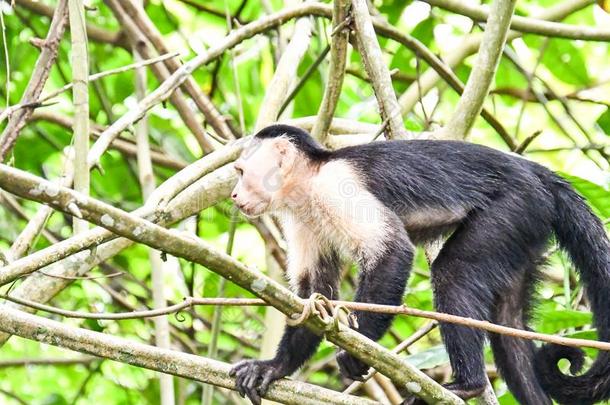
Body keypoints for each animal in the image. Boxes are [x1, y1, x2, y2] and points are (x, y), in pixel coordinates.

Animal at [227, 124, 608, 404]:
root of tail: (539, 174)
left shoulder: (336, 187)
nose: (232, 194)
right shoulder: (301, 215)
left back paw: (468, 384)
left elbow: (393, 253)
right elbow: (315, 294)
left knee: (454, 274)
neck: (308, 183)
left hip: (515, 205)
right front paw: (275, 367)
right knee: (507, 321)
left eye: (241, 172)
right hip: (526, 227)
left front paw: (358, 349)